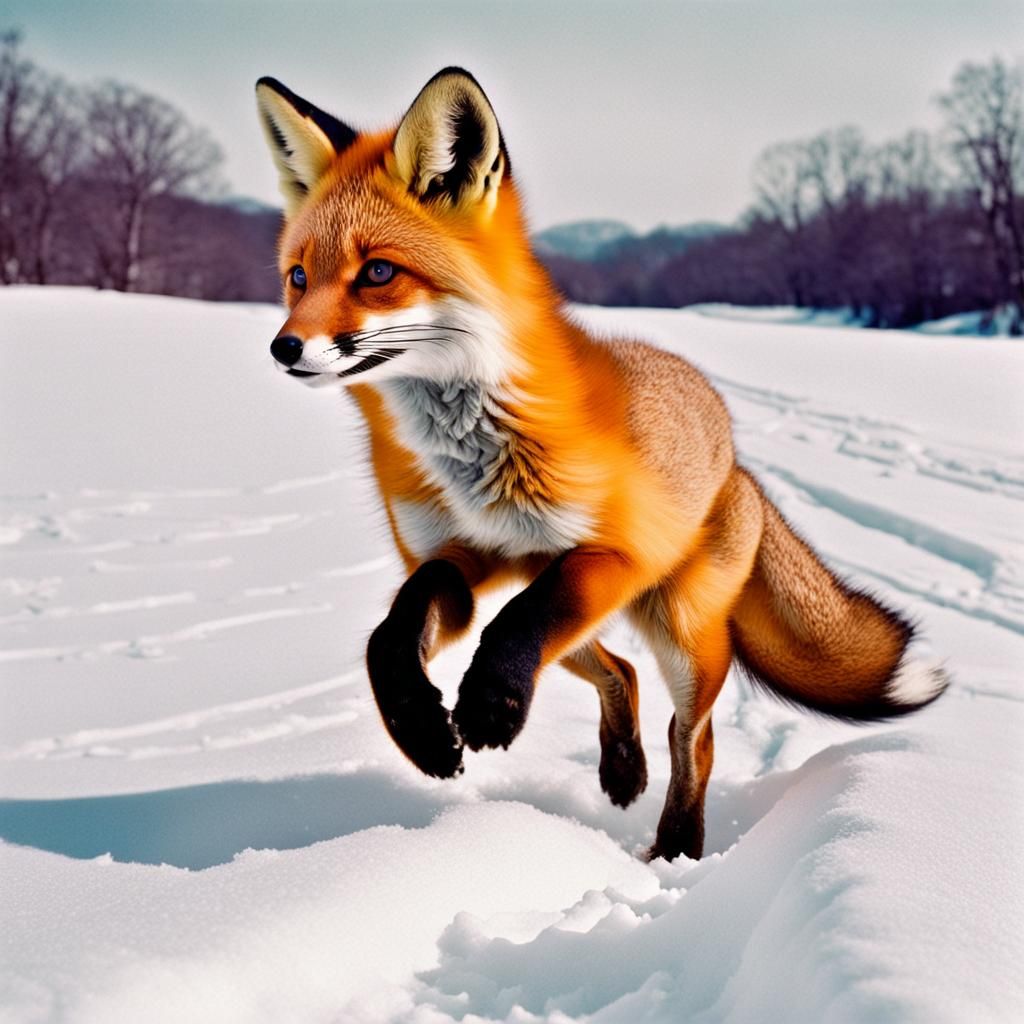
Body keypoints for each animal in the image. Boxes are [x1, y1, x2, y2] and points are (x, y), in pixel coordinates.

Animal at [254, 68, 948, 861]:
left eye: (376, 272)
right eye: (298, 277)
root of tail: (734, 456)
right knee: (619, 671)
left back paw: (676, 846)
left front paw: (489, 709)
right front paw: (420, 728)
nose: (284, 348)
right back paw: (622, 769)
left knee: (692, 737)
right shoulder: (456, 560)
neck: (473, 458)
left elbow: (520, 622)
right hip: (578, 622)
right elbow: (393, 632)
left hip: (680, 628)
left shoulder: (611, 554)